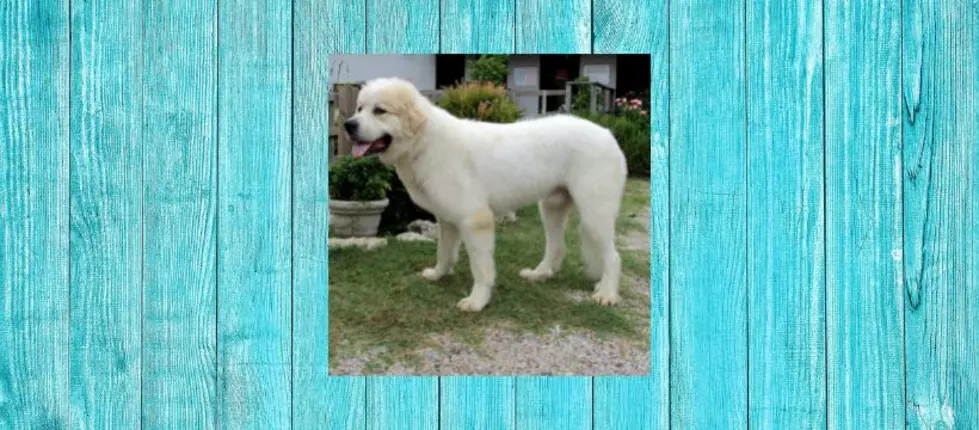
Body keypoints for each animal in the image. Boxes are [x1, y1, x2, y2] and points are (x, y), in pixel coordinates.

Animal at [344, 78, 628, 312]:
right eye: (359, 109)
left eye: (379, 111)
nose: (348, 125)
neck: (424, 143)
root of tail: (607, 133)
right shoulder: (447, 219)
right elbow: (443, 251)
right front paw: (438, 274)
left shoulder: (474, 219)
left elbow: (480, 268)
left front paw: (477, 301)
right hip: (551, 208)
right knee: (556, 246)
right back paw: (540, 274)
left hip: (594, 214)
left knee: (613, 257)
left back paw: (607, 293)